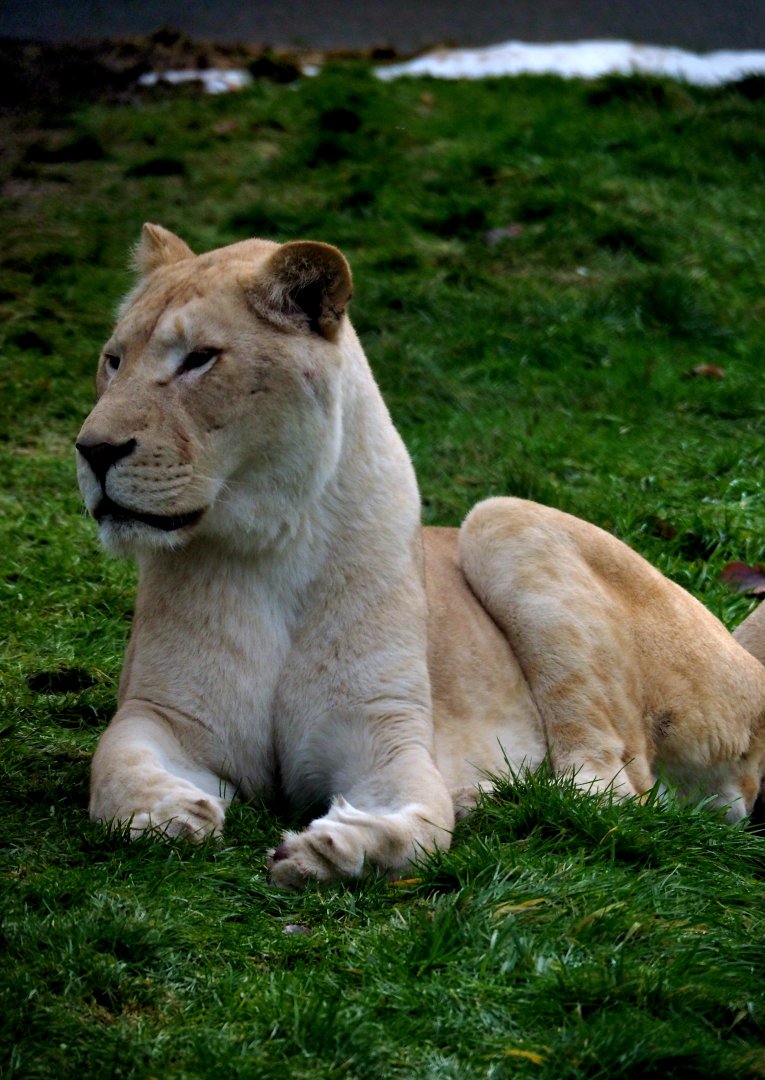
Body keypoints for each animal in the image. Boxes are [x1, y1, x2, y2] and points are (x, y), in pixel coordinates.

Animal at [76, 224, 765, 887]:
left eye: (199, 359)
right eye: (113, 360)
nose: (93, 450)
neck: (273, 542)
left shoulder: (385, 731)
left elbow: (423, 825)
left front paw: (335, 849)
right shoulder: (164, 713)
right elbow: (113, 764)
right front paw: (165, 814)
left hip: (500, 518)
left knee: (617, 784)